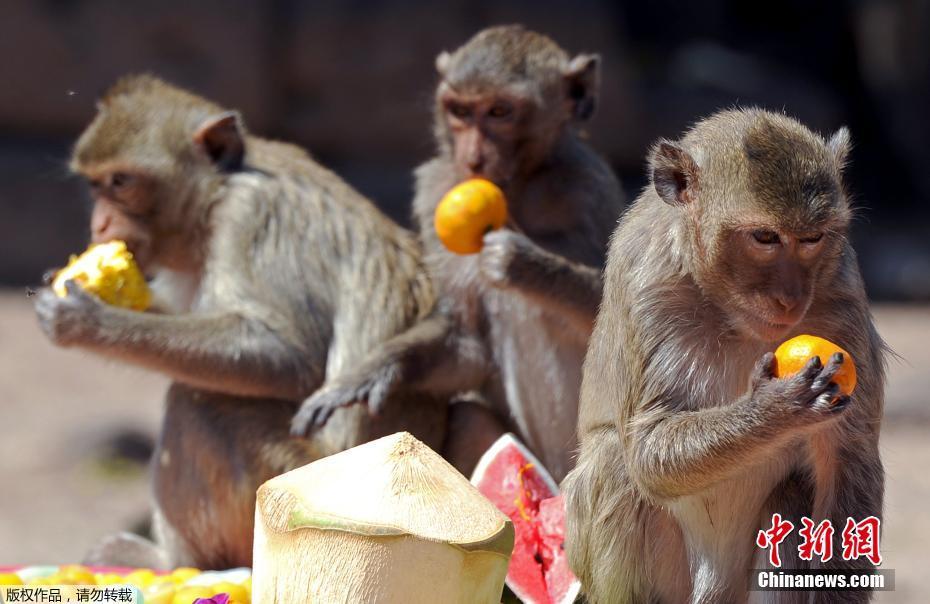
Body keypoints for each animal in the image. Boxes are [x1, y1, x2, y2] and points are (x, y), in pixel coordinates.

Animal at [32, 73, 446, 568]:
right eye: (96, 185)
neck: (217, 194)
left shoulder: (251, 217)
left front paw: (87, 322)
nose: (99, 226)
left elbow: (287, 354)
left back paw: (173, 564)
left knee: (197, 400)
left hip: (287, 487)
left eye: (121, 181)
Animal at [290, 26, 624, 482]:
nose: (473, 158)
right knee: (469, 417)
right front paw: (374, 370)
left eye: (500, 111)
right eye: (460, 111)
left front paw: (523, 262)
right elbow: (467, 343)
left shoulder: (590, 188)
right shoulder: (435, 191)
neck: (518, 186)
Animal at [560, 108, 880, 604]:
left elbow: (849, 458)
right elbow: (647, 450)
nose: (791, 297)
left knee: (795, 491)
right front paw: (772, 409)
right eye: (765, 237)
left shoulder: (842, 295)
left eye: (812, 238)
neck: (731, 313)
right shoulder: (645, 281)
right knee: (615, 461)